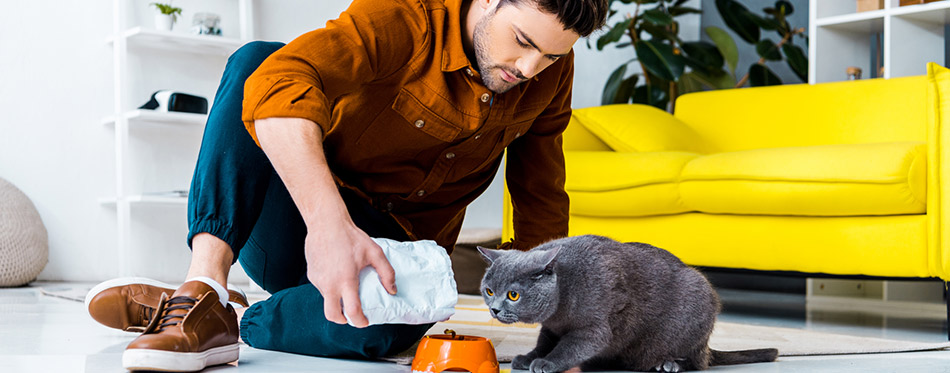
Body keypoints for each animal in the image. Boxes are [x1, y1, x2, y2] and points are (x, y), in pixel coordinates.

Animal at [480, 234, 776, 370]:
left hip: (696, 305)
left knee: (695, 362)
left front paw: (547, 363)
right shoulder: (552, 327)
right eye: (489, 291)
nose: (494, 309)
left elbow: (570, 346)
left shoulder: (593, 328)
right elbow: (545, 341)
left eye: (513, 295)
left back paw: (668, 364)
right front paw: (529, 357)